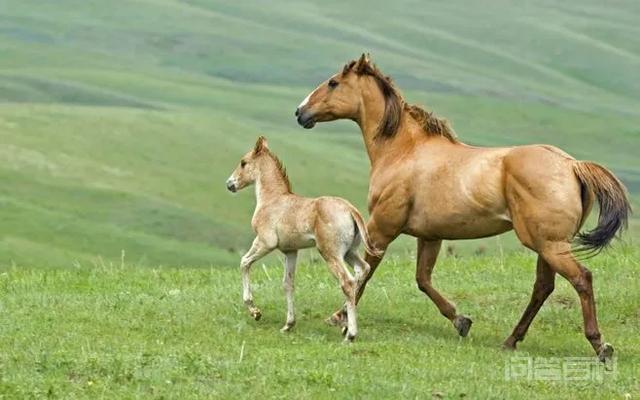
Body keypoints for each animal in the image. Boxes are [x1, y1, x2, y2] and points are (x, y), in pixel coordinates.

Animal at [226, 136, 379, 341]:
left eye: (243, 162)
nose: (230, 184)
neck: (272, 199)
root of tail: (350, 209)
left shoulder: (265, 242)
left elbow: (244, 262)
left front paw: (255, 311)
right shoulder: (290, 251)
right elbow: (288, 283)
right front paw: (288, 325)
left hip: (331, 254)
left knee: (347, 282)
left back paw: (350, 334)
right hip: (350, 252)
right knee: (363, 270)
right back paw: (344, 324)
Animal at [294, 54, 631, 361]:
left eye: (333, 82)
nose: (300, 112)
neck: (403, 151)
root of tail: (572, 165)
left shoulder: (381, 228)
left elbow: (364, 274)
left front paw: (339, 318)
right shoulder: (430, 236)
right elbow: (423, 280)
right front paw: (461, 321)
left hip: (549, 244)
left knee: (581, 279)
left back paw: (600, 346)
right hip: (546, 244)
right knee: (543, 287)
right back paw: (511, 340)